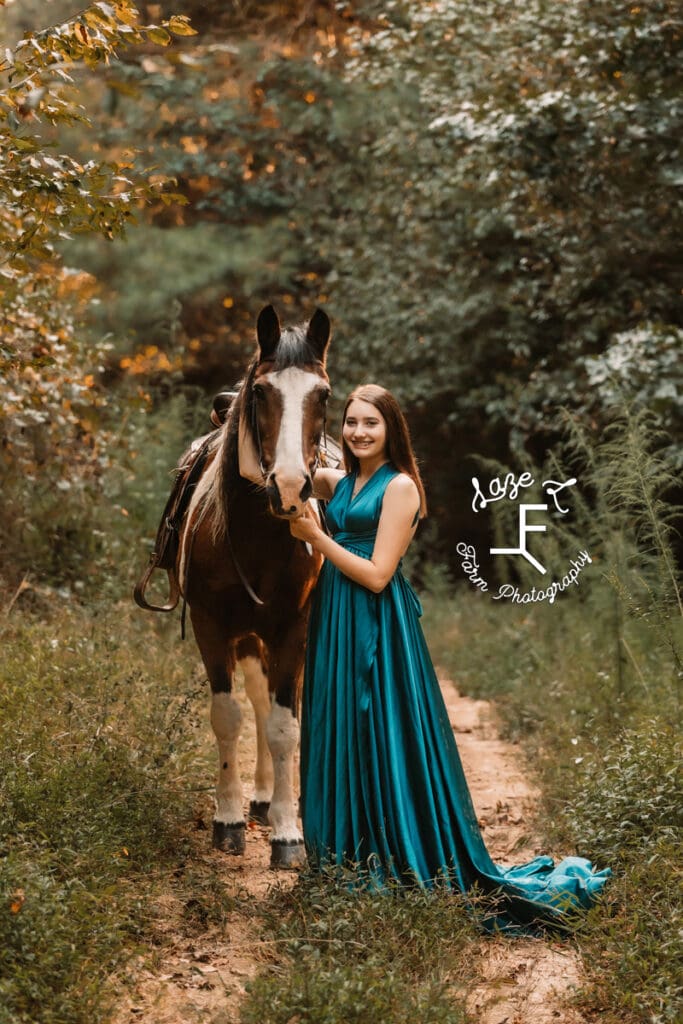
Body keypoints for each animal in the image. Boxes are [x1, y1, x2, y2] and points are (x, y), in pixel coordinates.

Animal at [174, 303, 327, 864]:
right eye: (259, 392)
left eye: (323, 394)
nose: (291, 488)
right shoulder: (212, 627)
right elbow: (229, 717)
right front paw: (229, 819)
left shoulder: (293, 629)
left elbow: (285, 727)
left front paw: (287, 832)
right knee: (257, 703)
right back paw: (256, 799)